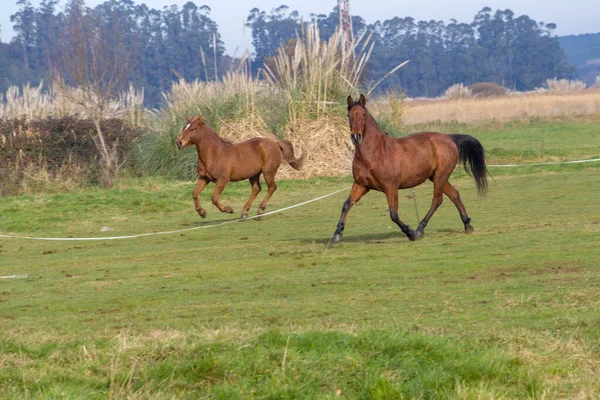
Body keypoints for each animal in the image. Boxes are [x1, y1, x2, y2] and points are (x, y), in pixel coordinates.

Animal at [332, 95, 488, 242]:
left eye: (363, 114)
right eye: (349, 115)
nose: (356, 137)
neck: (375, 153)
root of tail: (449, 138)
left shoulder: (390, 187)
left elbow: (394, 214)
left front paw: (410, 232)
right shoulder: (361, 185)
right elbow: (346, 204)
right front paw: (337, 234)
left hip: (440, 176)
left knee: (437, 200)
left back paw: (419, 229)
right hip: (436, 177)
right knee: (454, 194)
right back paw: (467, 225)